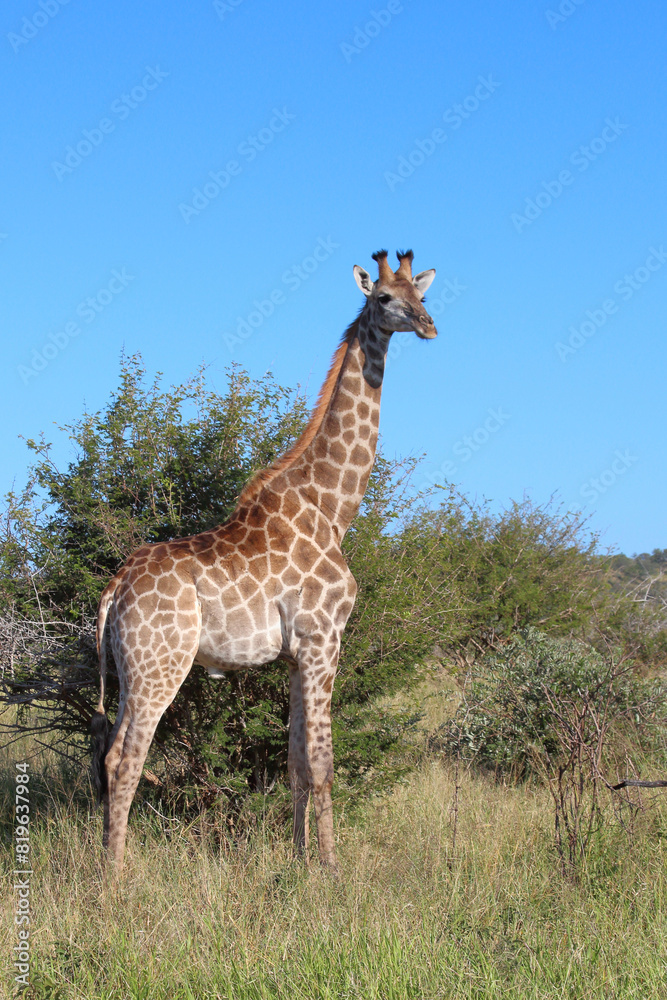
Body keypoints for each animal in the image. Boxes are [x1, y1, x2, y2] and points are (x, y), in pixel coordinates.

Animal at [91, 249, 437, 870]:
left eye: (420, 294)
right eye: (384, 298)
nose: (428, 325)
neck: (333, 507)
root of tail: (115, 588)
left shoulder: (297, 654)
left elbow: (297, 763)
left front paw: (299, 862)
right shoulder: (324, 639)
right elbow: (323, 765)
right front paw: (332, 870)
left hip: (132, 669)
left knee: (109, 755)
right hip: (162, 665)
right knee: (129, 758)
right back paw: (116, 878)